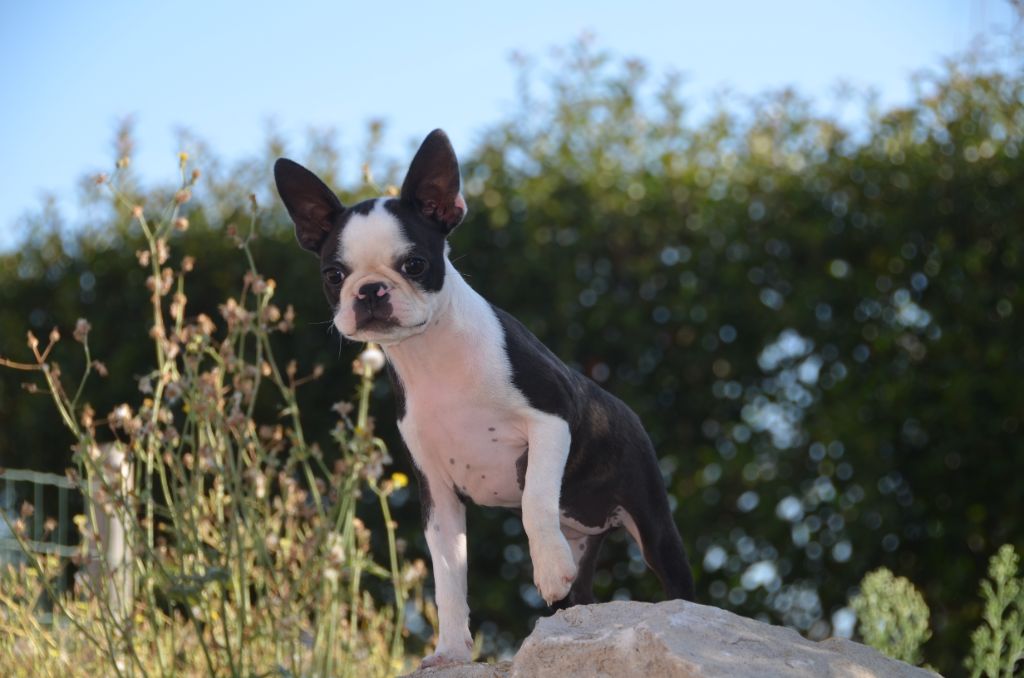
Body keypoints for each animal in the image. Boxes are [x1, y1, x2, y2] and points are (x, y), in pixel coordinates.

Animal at [272, 131, 696, 667]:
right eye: (333, 275)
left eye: (415, 264)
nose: (369, 291)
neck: (433, 354)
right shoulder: (437, 491)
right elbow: (448, 577)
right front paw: (451, 651)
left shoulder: (551, 419)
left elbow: (535, 497)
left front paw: (546, 567)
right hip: (584, 548)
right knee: (578, 596)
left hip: (653, 523)